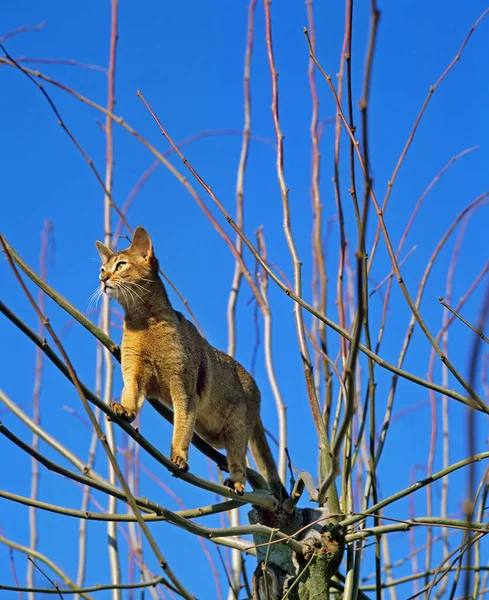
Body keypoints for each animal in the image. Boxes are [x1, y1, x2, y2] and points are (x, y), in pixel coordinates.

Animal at [95, 227, 286, 500]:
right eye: (102, 268)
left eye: (120, 265)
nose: (102, 279)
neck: (143, 322)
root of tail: (255, 384)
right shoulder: (133, 372)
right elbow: (131, 394)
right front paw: (125, 409)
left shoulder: (184, 386)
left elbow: (182, 425)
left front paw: (178, 456)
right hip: (214, 432)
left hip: (237, 426)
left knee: (239, 457)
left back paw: (237, 482)